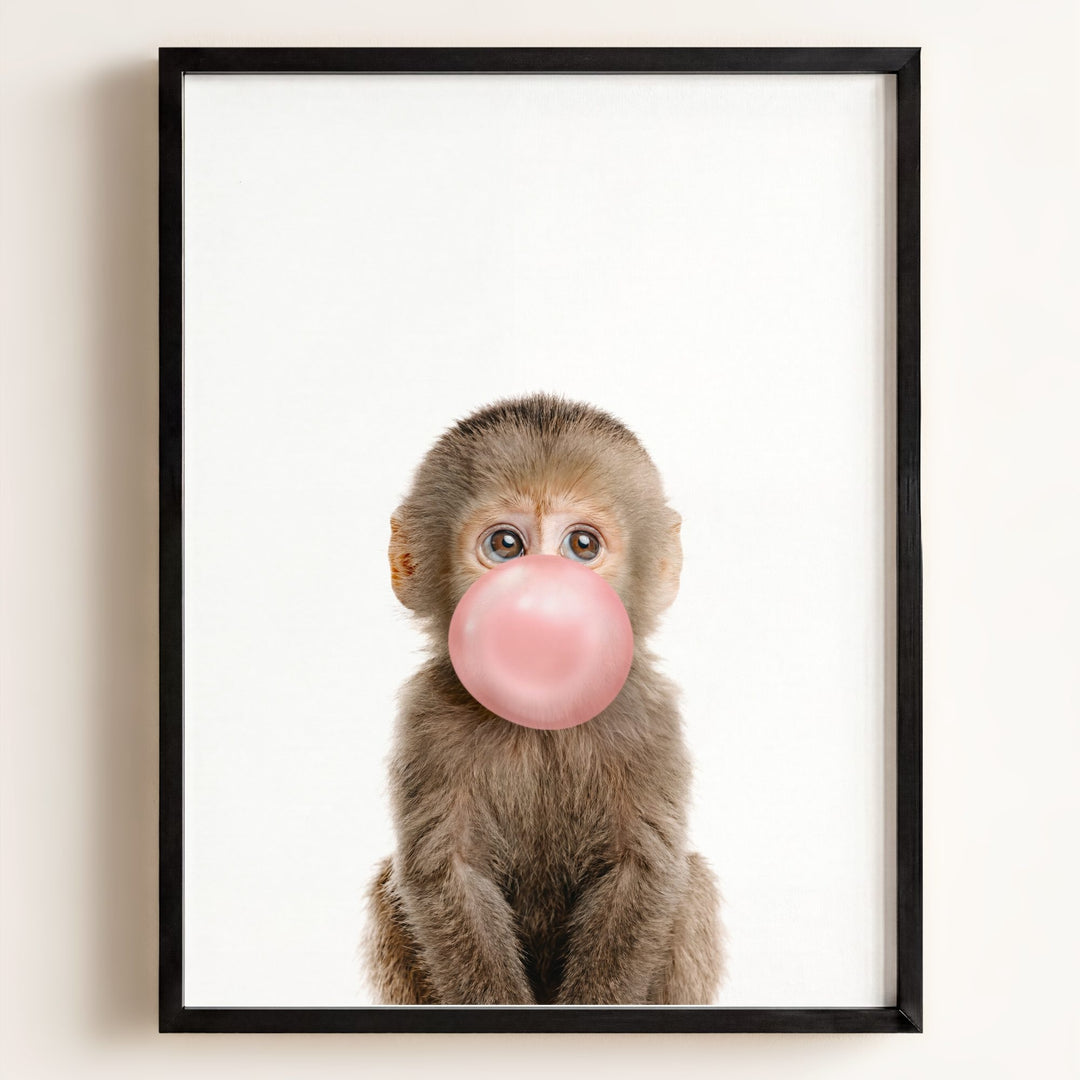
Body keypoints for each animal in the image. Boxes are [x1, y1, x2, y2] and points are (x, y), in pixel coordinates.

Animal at [364, 394, 722, 1005]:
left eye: (582, 545)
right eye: (506, 545)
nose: (543, 597)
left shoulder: (647, 715)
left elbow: (643, 870)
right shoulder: (429, 717)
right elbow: (447, 873)